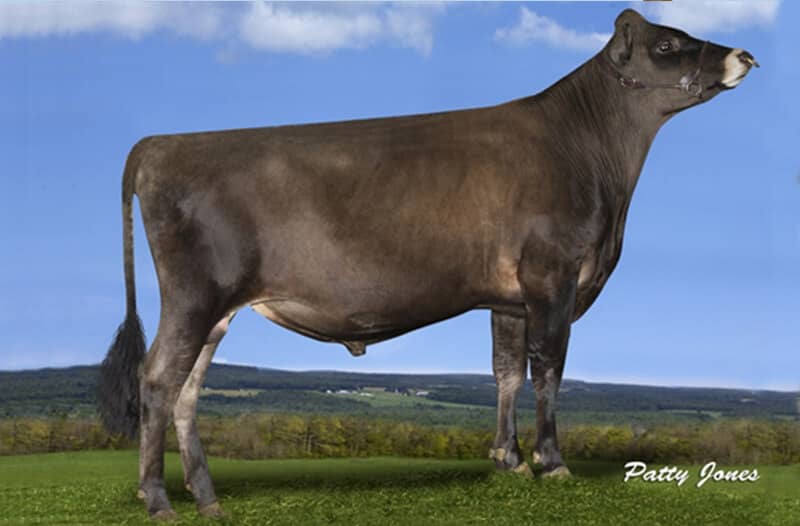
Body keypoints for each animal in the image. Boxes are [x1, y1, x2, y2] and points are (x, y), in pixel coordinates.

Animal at [98, 9, 757, 520]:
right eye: (666, 45)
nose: (745, 54)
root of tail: (159, 144)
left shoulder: (507, 297)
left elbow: (506, 372)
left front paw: (507, 460)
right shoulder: (554, 275)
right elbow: (548, 368)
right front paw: (551, 462)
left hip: (215, 311)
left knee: (187, 391)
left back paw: (207, 498)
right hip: (194, 297)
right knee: (157, 380)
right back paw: (157, 498)